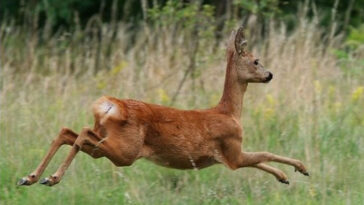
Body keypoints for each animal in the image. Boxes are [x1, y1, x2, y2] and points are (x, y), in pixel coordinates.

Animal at [17, 26, 308, 187]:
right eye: (256, 60)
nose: (270, 74)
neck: (230, 112)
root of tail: (109, 106)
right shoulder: (231, 150)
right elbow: (264, 153)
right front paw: (301, 167)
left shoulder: (230, 156)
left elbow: (261, 159)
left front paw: (285, 176)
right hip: (126, 151)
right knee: (82, 134)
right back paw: (51, 178)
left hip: (109, 144)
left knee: (68, 132)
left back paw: (31, 177)